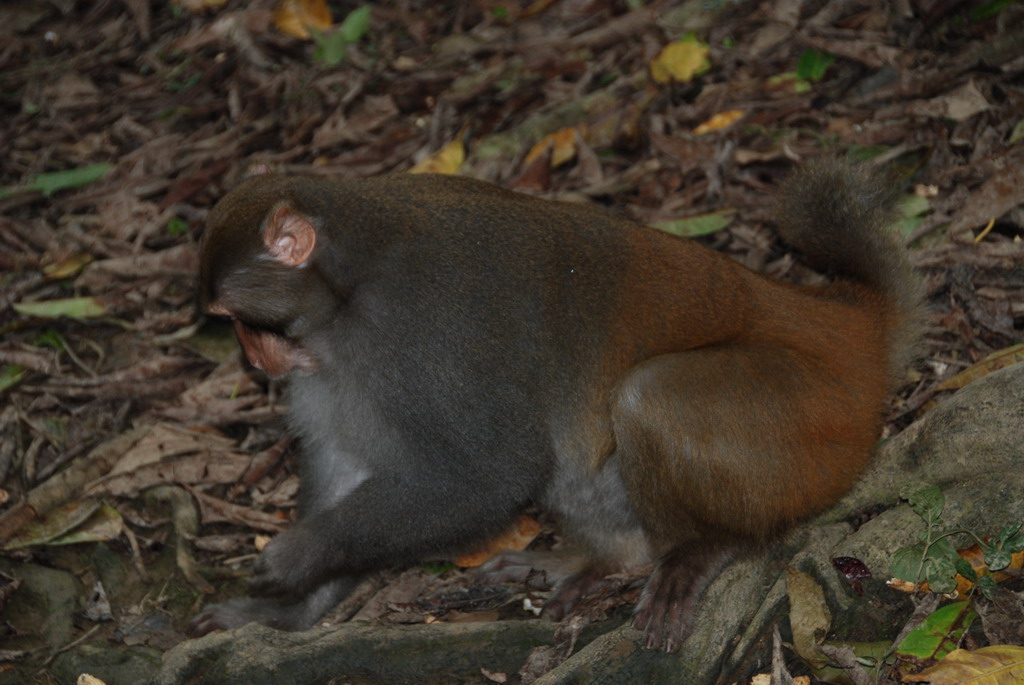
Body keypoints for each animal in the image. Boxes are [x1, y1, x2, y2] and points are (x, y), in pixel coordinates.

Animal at [188, 157, 925, 651]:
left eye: (243, 321)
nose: (257, 359)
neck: (349, 290)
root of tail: (838, 324)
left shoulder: (419, 328)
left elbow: (490, 472)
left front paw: (299, 554)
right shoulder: (331, 364)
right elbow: (349, 464)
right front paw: (281, 611)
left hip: (820, 425)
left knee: (647, 397)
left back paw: (710, 547)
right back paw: (609, 559)